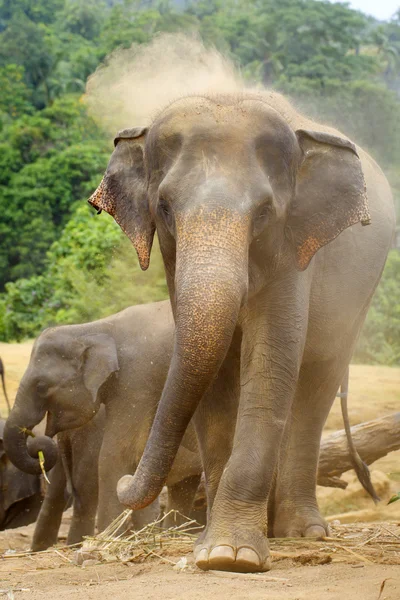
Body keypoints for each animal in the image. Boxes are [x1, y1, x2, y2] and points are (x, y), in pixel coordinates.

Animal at [3, 302, 203, 552]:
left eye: (41, 386)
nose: (36, 439)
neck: (95, 329)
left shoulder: (137, 381)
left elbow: (116, 457)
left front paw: (109, 543)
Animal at [88, 91, 396, 576]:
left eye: (266, 212)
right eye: (164, 208)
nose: (123, 481)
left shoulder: (295, 249)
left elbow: (270, 359)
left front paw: (233, 557)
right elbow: (216, 378)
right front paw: (210, 548)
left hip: (362, 293)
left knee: (317, 383)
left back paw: (302, 532)